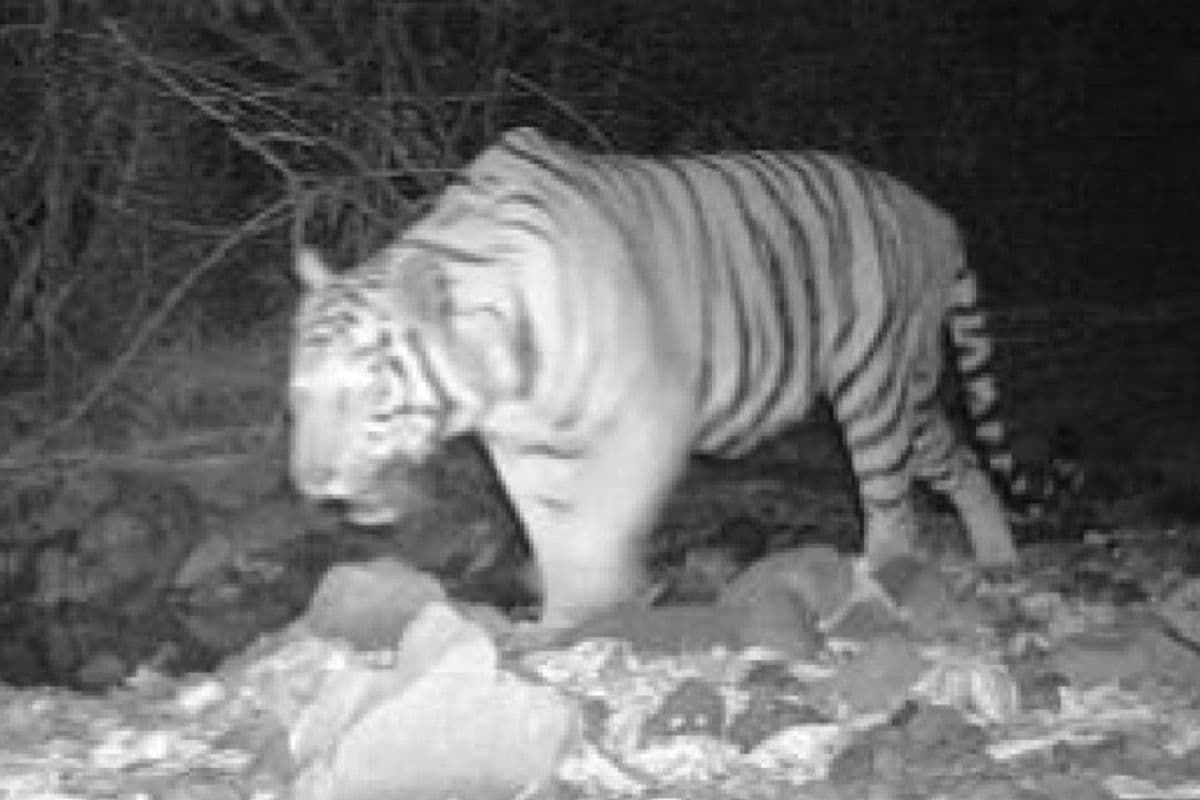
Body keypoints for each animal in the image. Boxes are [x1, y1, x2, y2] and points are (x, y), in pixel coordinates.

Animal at [289, 126, 1047, 630]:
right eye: (300, 397)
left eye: (365, 396)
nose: (310, 483)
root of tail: (934, 213)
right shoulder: (524, 443)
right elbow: (548, 525)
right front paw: (562, 613)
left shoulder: (645, 418)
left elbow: (601, 517)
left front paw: (606, 601)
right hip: (909, 389)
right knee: (956, 459)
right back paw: (998, 561)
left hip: (872, 380)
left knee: (891, 501)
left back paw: (874, 587)